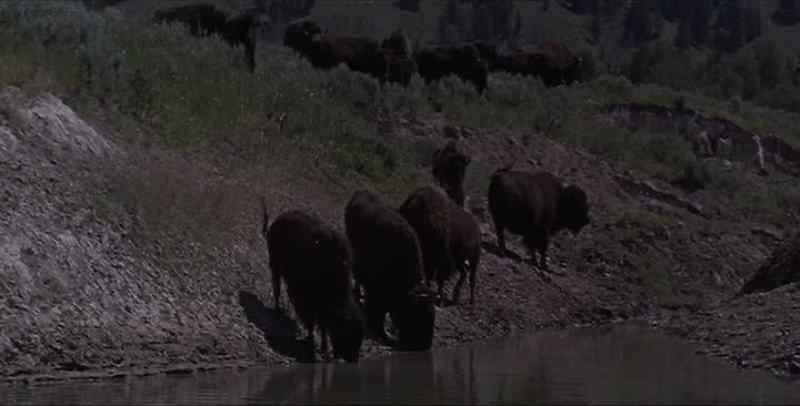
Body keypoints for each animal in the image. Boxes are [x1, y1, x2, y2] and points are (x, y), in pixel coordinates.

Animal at [262, 202, 365, 362]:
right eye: (346, 336)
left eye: (360, 339)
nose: (353, 359)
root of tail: (277, 221)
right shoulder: (307, 304)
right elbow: (312, 324)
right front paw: (312, 343)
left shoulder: (319, 308)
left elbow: (322, 327)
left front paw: (324, 348)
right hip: (275, 265)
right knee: (276, 286)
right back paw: (278, 309)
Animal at [345, 190, 436, 350]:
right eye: (416, 316)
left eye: (432, 317)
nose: (423, 346)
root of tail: (359, 193)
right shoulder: (376, 295)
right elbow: (376, 315)